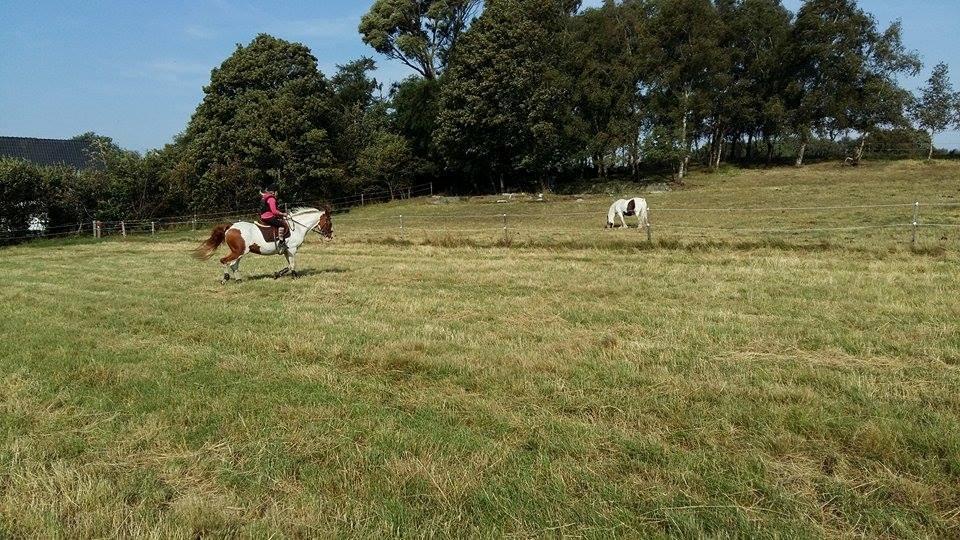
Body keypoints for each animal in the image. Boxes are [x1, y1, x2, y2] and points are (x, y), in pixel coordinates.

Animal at [191, 206, 334, 284]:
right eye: (329, 222)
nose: (330, 236)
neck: (297, 227)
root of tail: (230, 227)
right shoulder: (292, 250)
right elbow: (292, 264)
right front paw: (293, 276)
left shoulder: (287, 251)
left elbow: (289, 265)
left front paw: (278, 274)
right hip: (239, 251)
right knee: (225, 261)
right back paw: (225, 279)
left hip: (240, 252)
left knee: (233, 265)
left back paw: (238, 280)